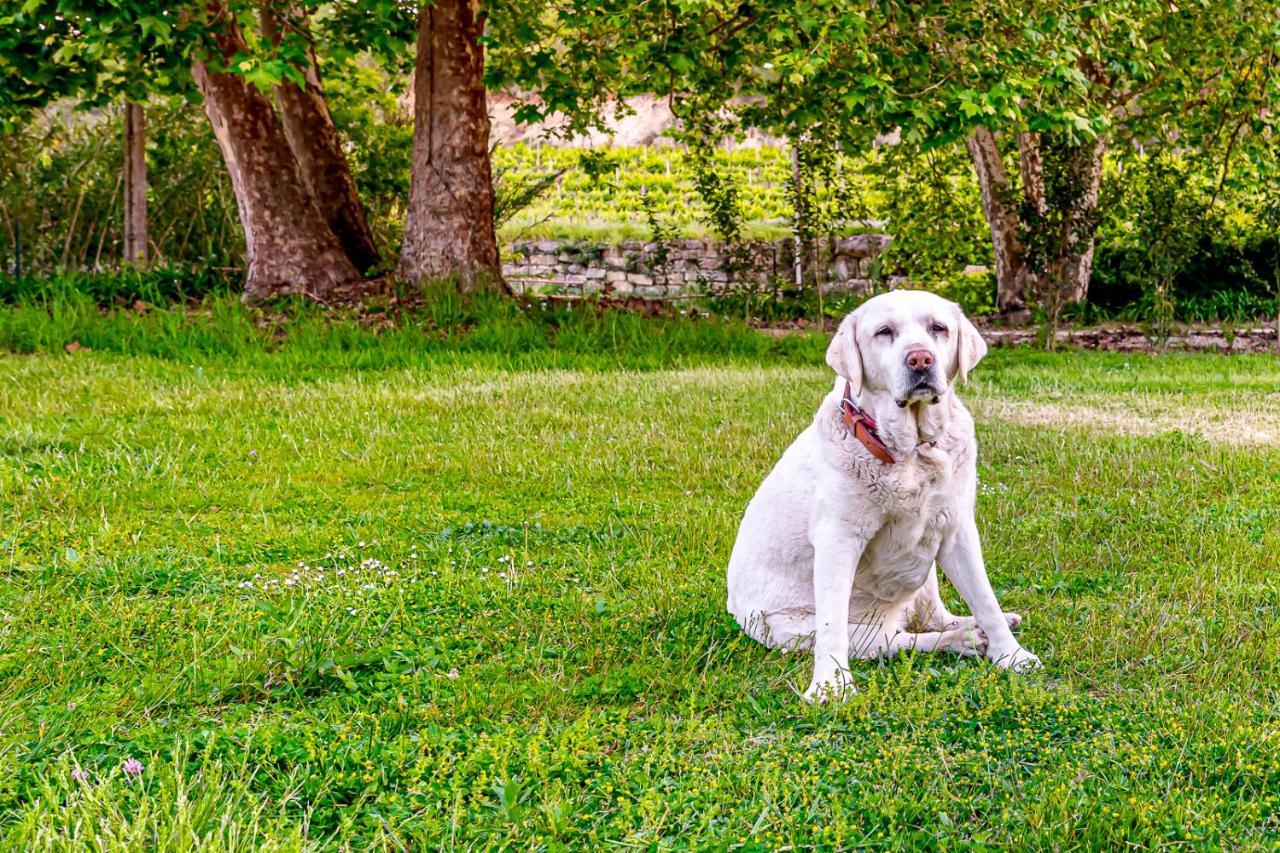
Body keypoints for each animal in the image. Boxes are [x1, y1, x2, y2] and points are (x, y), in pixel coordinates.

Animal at [727, 289, 1034, 701]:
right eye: (884, 332)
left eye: (938, 328)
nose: (920, 359)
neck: (911, 452)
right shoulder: (838, 540)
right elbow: (833, 627)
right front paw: (830, 685)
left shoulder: (956, 530)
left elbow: (985, 598)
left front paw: (1012, 655)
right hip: (794, 628)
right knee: (896, 639)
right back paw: (962, 640)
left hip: (926, 568)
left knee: (932, 616)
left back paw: (977, 626)